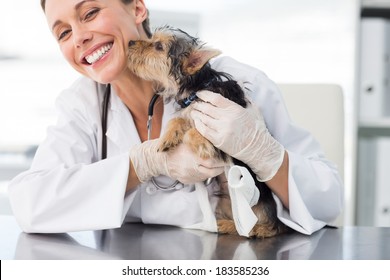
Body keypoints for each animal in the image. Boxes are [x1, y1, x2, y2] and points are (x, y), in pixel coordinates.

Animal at [126, 26, 288, 237]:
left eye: (158, 46)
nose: (130, 42)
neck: (197, 88)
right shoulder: (188, 112)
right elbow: (178, 119)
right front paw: (168, 138)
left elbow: (194, 133)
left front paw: (202, 143)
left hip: (257, 209)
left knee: (258, 229)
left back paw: (237, 226)